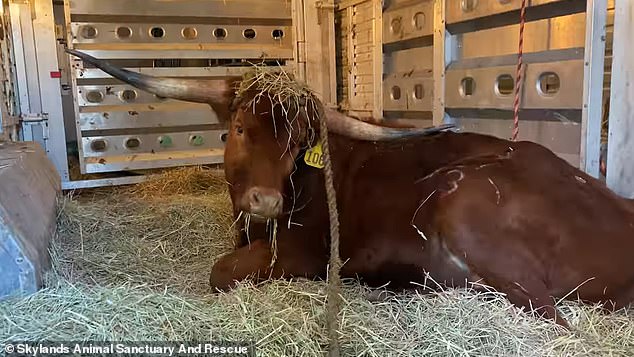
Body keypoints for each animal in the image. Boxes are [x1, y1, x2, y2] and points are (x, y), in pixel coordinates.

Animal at [65, 48, 632, 326]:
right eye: (240, 128)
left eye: (297, 143)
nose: (268, 201)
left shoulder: (302, 253)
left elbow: (220, 272)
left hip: (465, 201)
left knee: (554, 317)